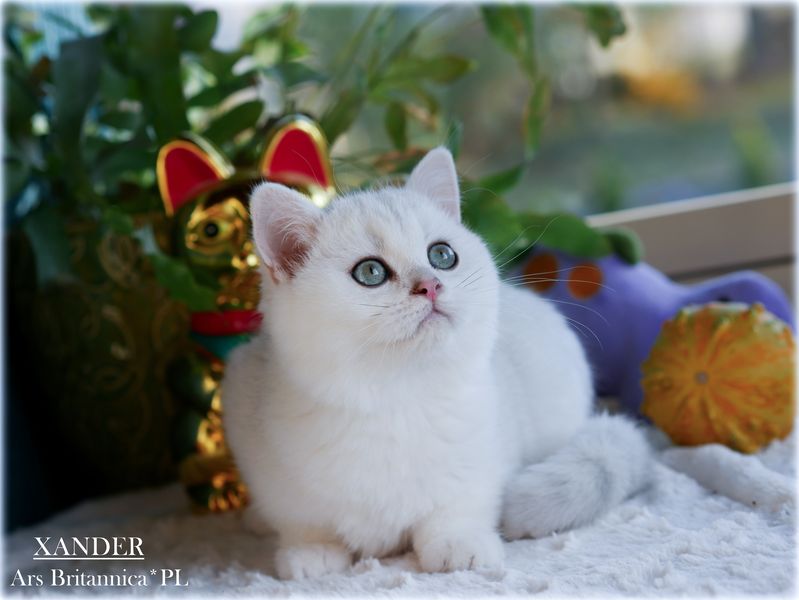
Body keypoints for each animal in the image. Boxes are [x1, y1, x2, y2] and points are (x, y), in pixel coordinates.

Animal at [222, 147, 651, 580]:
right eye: (370, 272)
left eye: (442, 255)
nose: (430, 285)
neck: (395, 396)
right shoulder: (252, 427)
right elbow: (302, 519)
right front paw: (313, 552)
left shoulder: (482, 453)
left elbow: (459, 503)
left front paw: (458, 544)